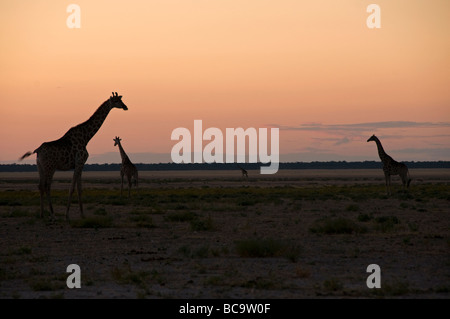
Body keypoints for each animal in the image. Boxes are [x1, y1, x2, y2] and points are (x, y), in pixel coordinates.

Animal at [18, 91, 128, 219]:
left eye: (121, 100)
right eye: (116, 101)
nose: (125, 107)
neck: (86, 137)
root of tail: (38, 150)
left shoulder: (80, 165)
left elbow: (79, 189)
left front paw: (82, 214)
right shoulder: (79, 162)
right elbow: (72, 188)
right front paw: (67, 215)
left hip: (40, 167)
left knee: (40, 186)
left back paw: (42, 214)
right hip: (50, 167)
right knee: (46, 186)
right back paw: (52, 214)